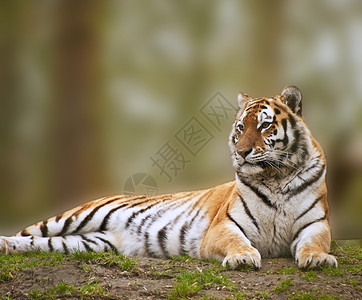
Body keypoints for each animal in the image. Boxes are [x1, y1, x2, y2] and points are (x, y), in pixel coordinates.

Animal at [0, 86, 336, 270]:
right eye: (241, 128)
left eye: (265, 126)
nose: (241, 152)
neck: (276, 176)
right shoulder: (224, 226)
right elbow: (237, 241)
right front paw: (243, 258)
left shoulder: (315, 224)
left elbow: (315, 243)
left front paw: (319, 259)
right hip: (73, 217)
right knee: (27, 231)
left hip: (88, 242)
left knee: (36, 243)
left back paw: (8, 248)